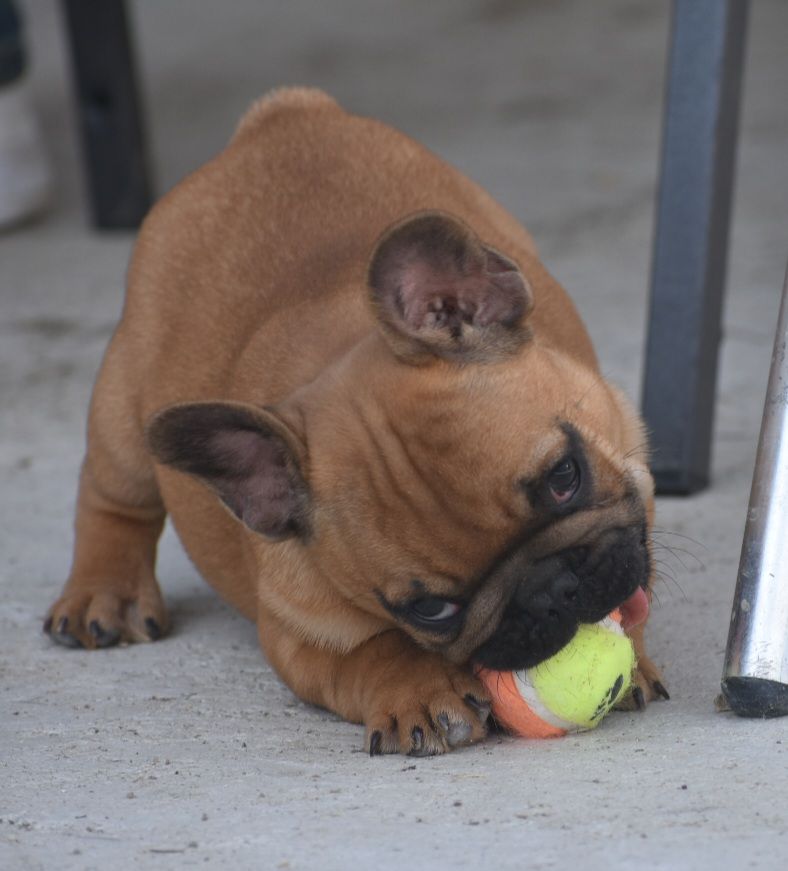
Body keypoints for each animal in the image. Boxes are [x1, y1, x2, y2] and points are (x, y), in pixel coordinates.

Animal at [45, 88, 666, 756]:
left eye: (565, 477)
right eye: (430, 611)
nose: (555, 590)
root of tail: (282, 116)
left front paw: (634, 660)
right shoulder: (298, 638)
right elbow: (375, 651)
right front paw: (420, 691)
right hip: (124, 410)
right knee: (112, 498)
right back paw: (103, 594)